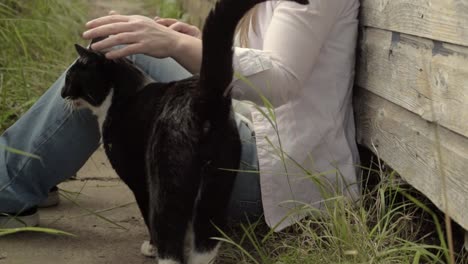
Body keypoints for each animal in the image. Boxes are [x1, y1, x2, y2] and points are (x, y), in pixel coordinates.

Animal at [61, 0, 308, 262]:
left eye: (69, 78)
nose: (62, 94)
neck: (122, 94)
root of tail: (204, 98)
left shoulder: (137, 176)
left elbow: (146, 211)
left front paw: (151, 246)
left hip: (167, 178)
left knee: (168, 231)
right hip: (217, 181)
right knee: (205, 239)